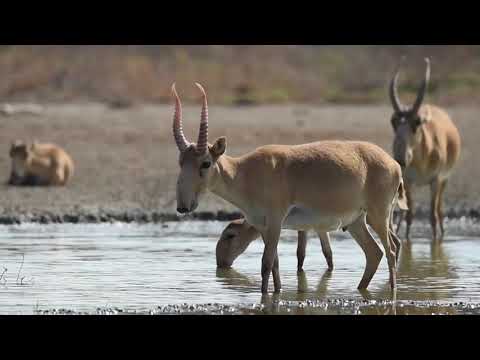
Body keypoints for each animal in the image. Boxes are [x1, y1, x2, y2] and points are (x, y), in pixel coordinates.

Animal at [171, 83, 406, 296]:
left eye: (206, 163)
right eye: (181, 161)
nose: (183, 206)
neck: (245, 172)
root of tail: (393, 163)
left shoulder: (276, 221)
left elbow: (266, 263)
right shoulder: (264, 226)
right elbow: (274, 264)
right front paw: (277, 293)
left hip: (378, 216)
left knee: (391, 250)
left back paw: (392, 293)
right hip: (356, 221)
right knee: (374, 253)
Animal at [390, 57, 462, 240]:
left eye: (416, 123)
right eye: (394, 122)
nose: (400, 158)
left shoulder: (435, 180)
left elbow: (432, 216)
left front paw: (436, 240)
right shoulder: (408, 181)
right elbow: (410, 214)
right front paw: (407, 239)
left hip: (444, 180)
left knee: (439, 210)